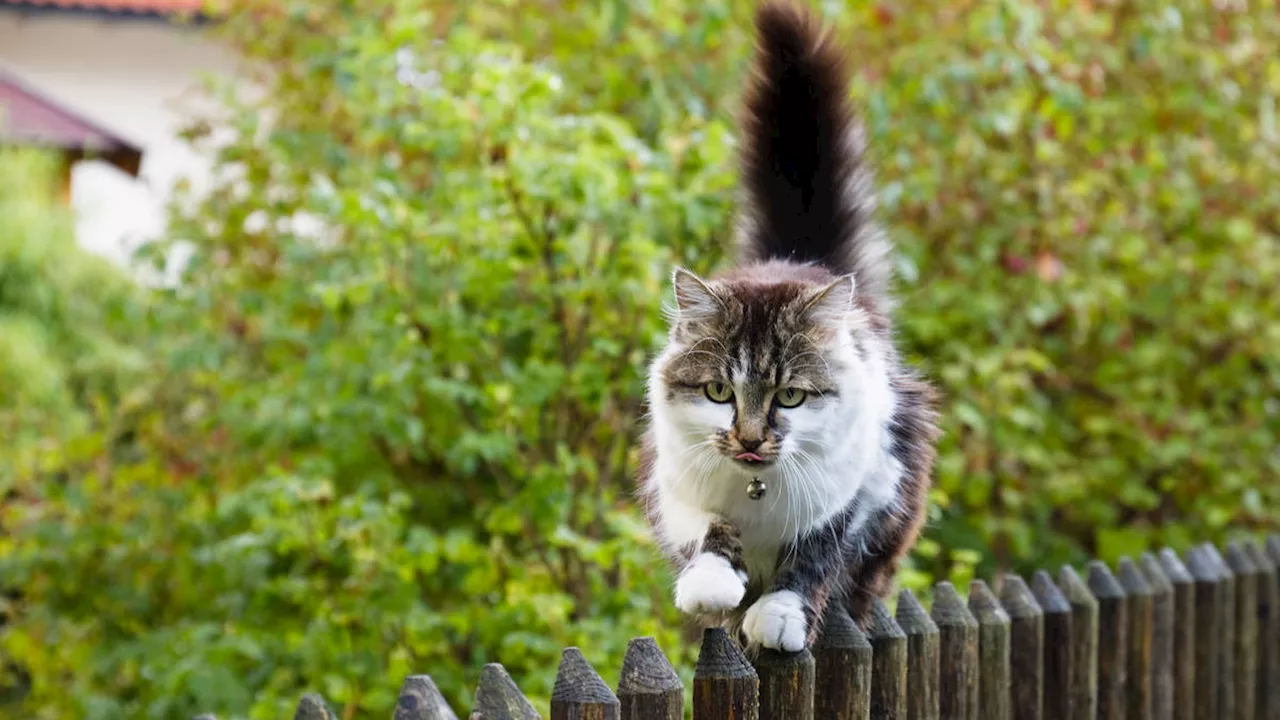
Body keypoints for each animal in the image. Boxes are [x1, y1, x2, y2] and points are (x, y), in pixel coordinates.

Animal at [634, 0, 936, 650]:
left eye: (791, 396)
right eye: (718, 391)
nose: (749, 439)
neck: (760, 491)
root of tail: (798, 260)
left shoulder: (861, 487)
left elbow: (815, 555)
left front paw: (779, 617)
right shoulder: (675, 483)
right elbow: (709, 530)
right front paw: (713, 585)